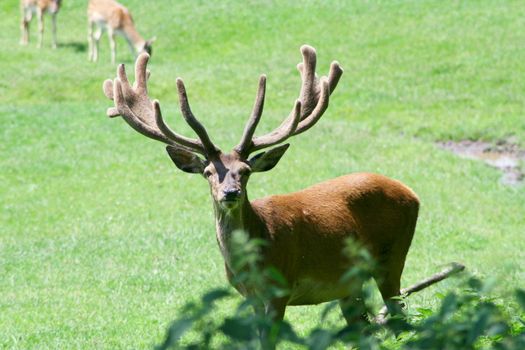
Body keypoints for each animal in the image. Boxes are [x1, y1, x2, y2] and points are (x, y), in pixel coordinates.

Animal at [102, 46, 420, 330]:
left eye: (245, 172)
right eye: (208, 172)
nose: (230, 193)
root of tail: (413, 194)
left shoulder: (280, 288)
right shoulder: (249, 297)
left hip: (392, 257)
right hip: (348, 286)